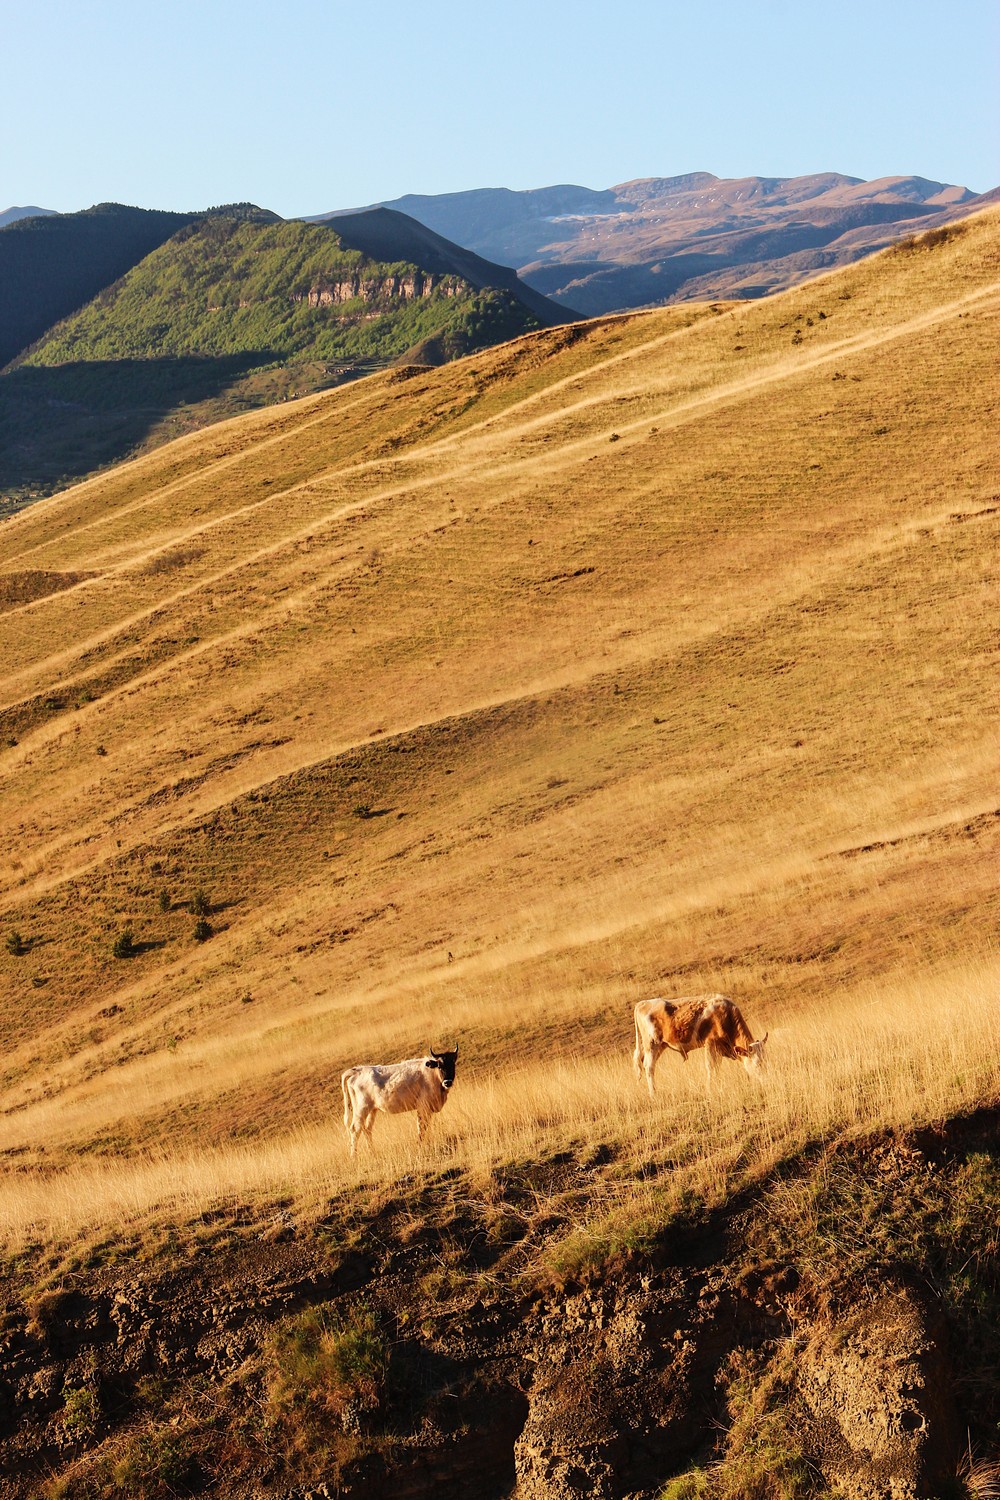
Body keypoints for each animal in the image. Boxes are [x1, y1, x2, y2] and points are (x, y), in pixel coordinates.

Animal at [632, 990, 767, 1098]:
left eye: (764, 1061)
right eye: (757, 1064)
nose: (764, 1079)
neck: (726, 1017)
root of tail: (642, 1003)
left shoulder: (719, 1048)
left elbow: (716, 1067)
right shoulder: (711, 1044)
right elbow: (710, 1067)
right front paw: (710, 1089)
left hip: (658, 1046)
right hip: (652, 1044)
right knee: (649, 1067)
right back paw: (653, 1094)